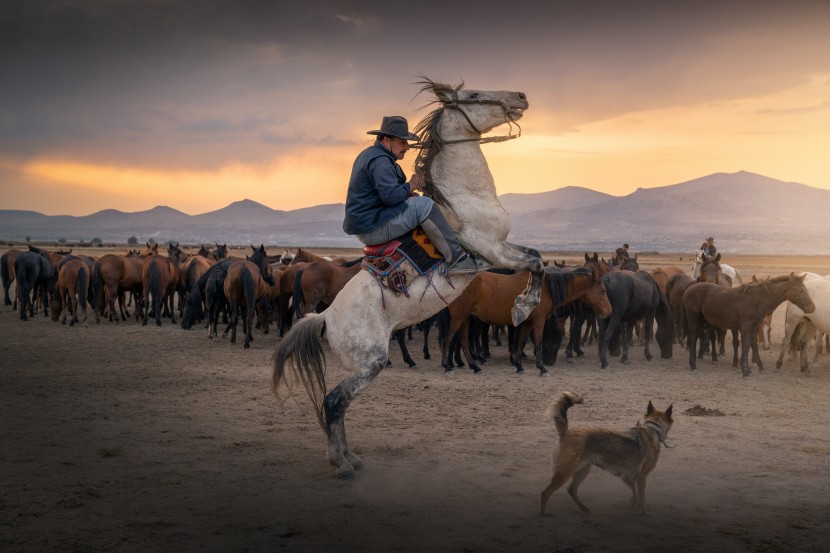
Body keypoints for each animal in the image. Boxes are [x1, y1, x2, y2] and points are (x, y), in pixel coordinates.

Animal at [272, 78, 544, 478]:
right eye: (474, 95)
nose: (521, 97)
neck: (463, 197)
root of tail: (325, 316)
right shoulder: (491, 249)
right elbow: (536, 264)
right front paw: (522, 308)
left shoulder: (502, 248)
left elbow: (537, 257)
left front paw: (523, 305)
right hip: (369, 362)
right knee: (334, 402)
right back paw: (342, 464)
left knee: (339, 406)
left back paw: (351, 457)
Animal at [442, 268, 612, 376]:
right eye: (603, 291)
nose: (609, 311)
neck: (544, 289)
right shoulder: (538, 321)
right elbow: (537, 342)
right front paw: (542, 368)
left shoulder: (528, 322)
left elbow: (522, 341)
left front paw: (518, 365)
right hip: (459, 317)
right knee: (449, 338)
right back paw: (447, 366)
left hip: (465, 318)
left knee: (463, 340)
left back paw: (474, 366)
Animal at [540, 390, 676, 516]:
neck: (652, 428)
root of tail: (566, 433)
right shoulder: (641, 478)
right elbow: (642, 497)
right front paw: (644, 512)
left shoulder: (626, 476)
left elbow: (634, 491)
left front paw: (632, 504)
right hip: (565, 472)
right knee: (545, 492)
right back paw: (544, 513)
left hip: (583, 470)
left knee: (571, 490)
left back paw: (584, 508)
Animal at [684, 272, 820, 376]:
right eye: (800, 290)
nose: (812, 308)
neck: (756, 299)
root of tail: (689, 289)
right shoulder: (745, 327)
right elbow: (745, 345)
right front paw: (745, 371)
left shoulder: (754, 327)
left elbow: (753, 345)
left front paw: (754, 367)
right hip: (693, 318)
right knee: (692, 338)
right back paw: (693, 366)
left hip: (703, 321)